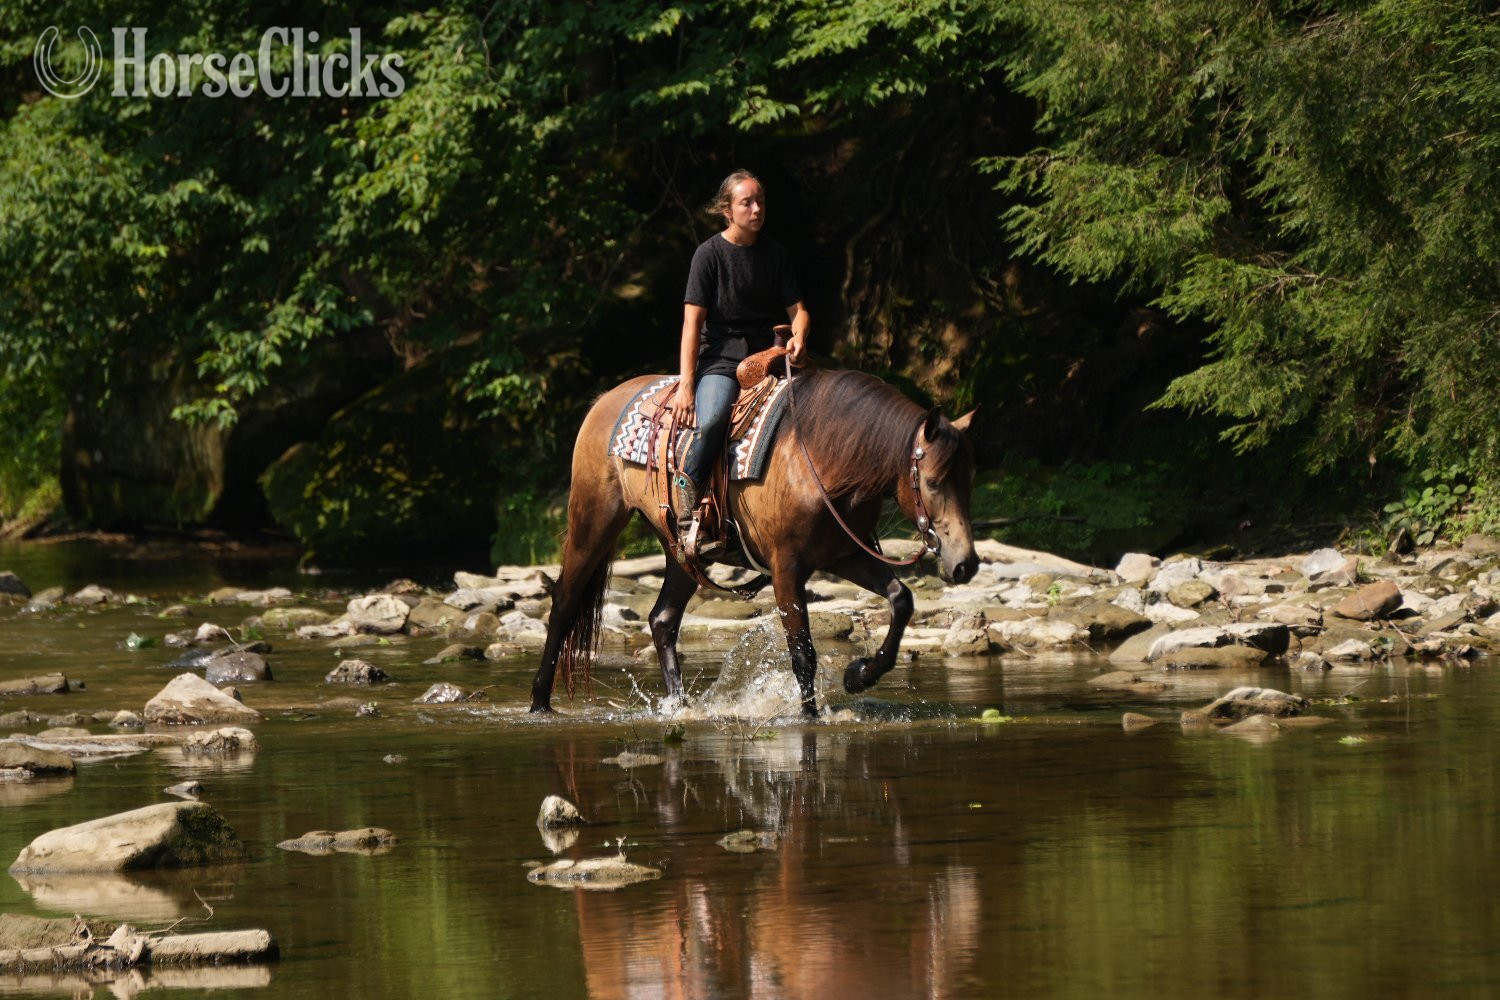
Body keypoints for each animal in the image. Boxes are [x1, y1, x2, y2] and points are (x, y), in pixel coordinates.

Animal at [529, 367, 979, 717]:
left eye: (968, 478)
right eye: (934, 482)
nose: (966, 564)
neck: (823, 458)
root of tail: (604, 401)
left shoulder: (846, 555)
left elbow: (901, 599)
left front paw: (858, 676)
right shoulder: (787, 568)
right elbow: (803, 652)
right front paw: (809, 717)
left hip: (681, 550)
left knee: (663, 619)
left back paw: (679, 706)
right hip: (594, 520)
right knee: (565, 602)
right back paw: (539, 702)